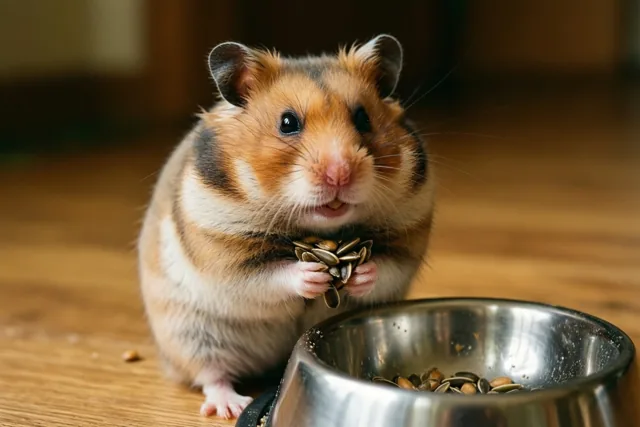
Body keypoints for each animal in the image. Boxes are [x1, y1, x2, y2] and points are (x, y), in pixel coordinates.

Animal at [137, 34, 435, 419]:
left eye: (363, 118)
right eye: (288, 123)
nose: (340, 174)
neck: (319, 230)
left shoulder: (408, 236)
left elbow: (384, 268)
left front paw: (360, 273)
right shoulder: (225, 252)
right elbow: (272, 276)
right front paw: (312, 275)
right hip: (191, 333)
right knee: (211, 373)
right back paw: (231, 406)